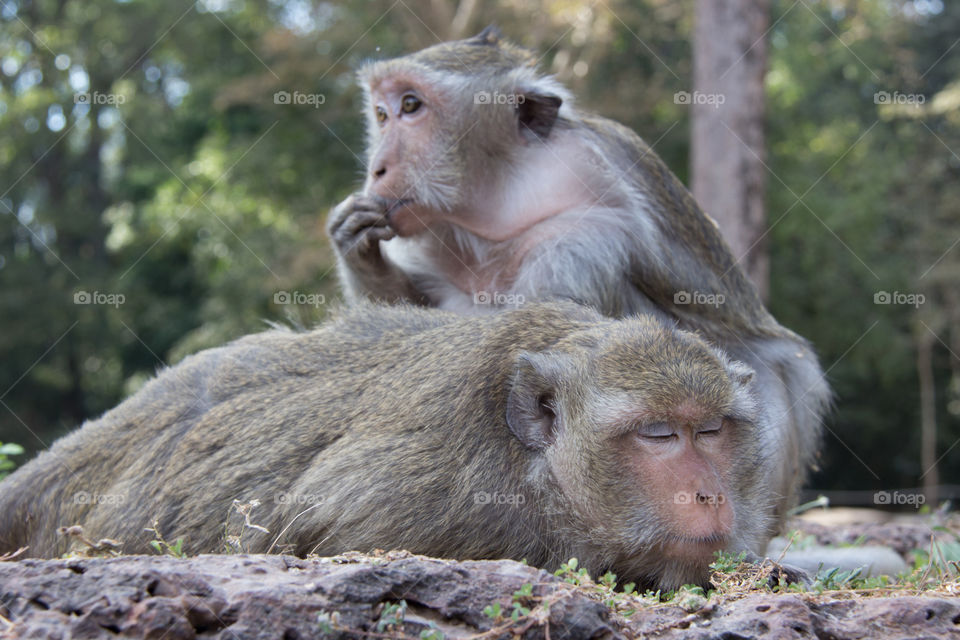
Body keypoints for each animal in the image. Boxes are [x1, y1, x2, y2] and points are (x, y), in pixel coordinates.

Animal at [326, 28, 830, 528]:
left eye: (411, 106)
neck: (505, 195)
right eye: (381, 114)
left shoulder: (581, 240)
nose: (376, 168)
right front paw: (361, 253)